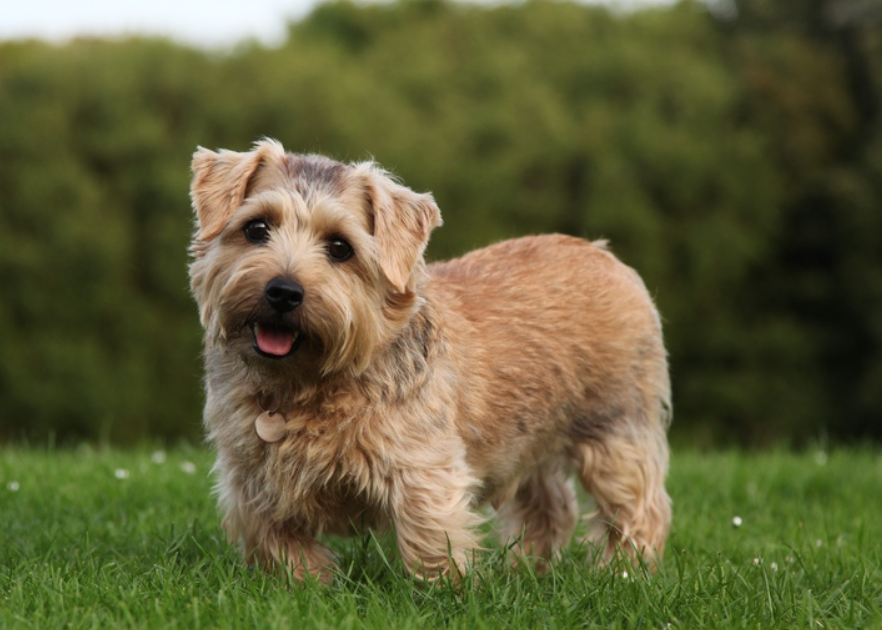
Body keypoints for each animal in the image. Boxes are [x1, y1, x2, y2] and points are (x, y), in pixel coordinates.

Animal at [186, 141, 668, 584]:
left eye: (340, 247)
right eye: (256, 228)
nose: (284, 291)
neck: (305, 384)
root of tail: (602, 253)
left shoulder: (422, 469)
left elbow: (431, 538)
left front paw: (443, 593)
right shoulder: (251, 482)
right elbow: (279, 544)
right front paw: (305, 587)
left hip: (616, 429)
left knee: (641, 505)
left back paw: (623, 573)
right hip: (528, 438)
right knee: (550, 505)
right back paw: (526, 569)